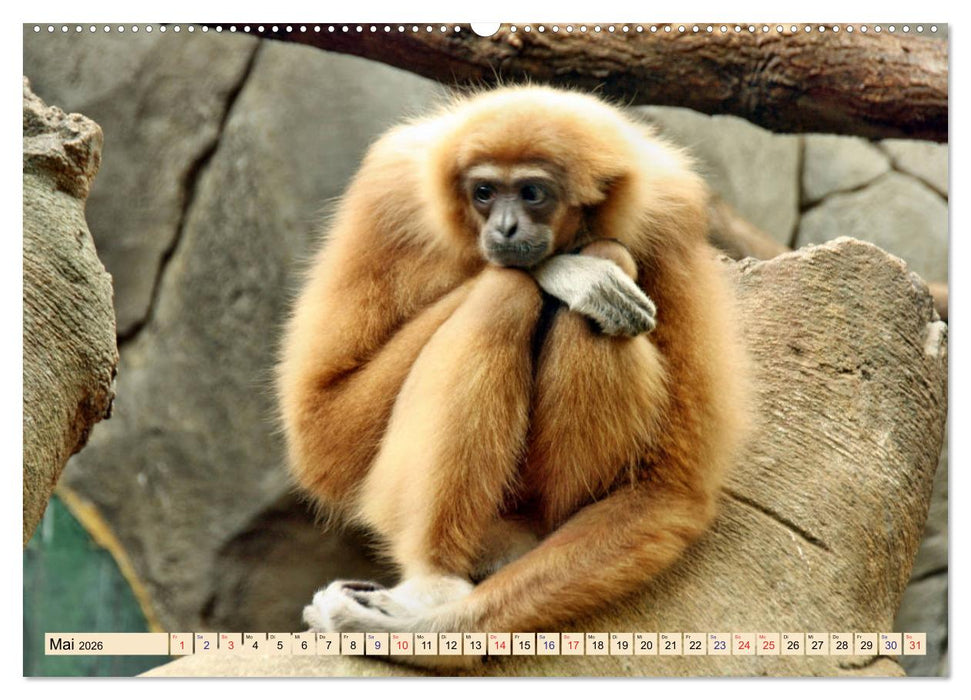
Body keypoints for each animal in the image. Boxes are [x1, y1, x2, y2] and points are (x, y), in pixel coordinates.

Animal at [276, 86, 750, 654]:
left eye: (531, 193)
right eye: (484, 192)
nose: (504, 227)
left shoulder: (671, 216)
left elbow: (670, 491)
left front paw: (433, 633)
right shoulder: (387, 197)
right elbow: (323, 428)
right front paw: (566, 270)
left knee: (605, 267)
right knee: (506, 291)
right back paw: (432, 583)